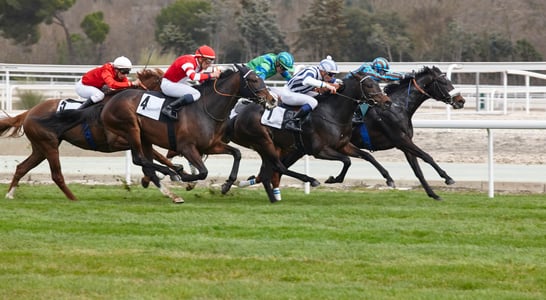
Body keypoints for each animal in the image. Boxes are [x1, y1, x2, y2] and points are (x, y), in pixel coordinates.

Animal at [0, 68, 180, 202]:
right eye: (162, 82)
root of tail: (29, 112)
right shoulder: (117, 141)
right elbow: (148, 158)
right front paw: (164, 175)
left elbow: (157, 156)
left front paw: (176, 171)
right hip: (49, 145)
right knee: (56, 175)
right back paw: (74, 199)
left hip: (40, 148)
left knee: (22, 167)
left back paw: (10, 194)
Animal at [98, 63, 274, 202]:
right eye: (253, 80)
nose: (272, 100)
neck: (206, 109)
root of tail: (110, 102)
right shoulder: (186, 147)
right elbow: (203, 172)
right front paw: (186, 178)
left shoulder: (211, 146)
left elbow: (237, 153)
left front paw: (226, 185)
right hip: (131, 128)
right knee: (138, 159)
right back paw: (173, 172)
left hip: (145, 137)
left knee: (145, 161)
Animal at [228, 73, 392, 203]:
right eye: (369, 85)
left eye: (377, 83)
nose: (387, 102)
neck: (332, 113)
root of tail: (238, 116)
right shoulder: (319, 150)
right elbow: (347, 160)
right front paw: (333, 179)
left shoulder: (343, 145)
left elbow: (367, 156)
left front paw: (389, 179)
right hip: (263, 142)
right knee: (278, 167)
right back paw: (310, 180)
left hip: (274, 147)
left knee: (269, 170)